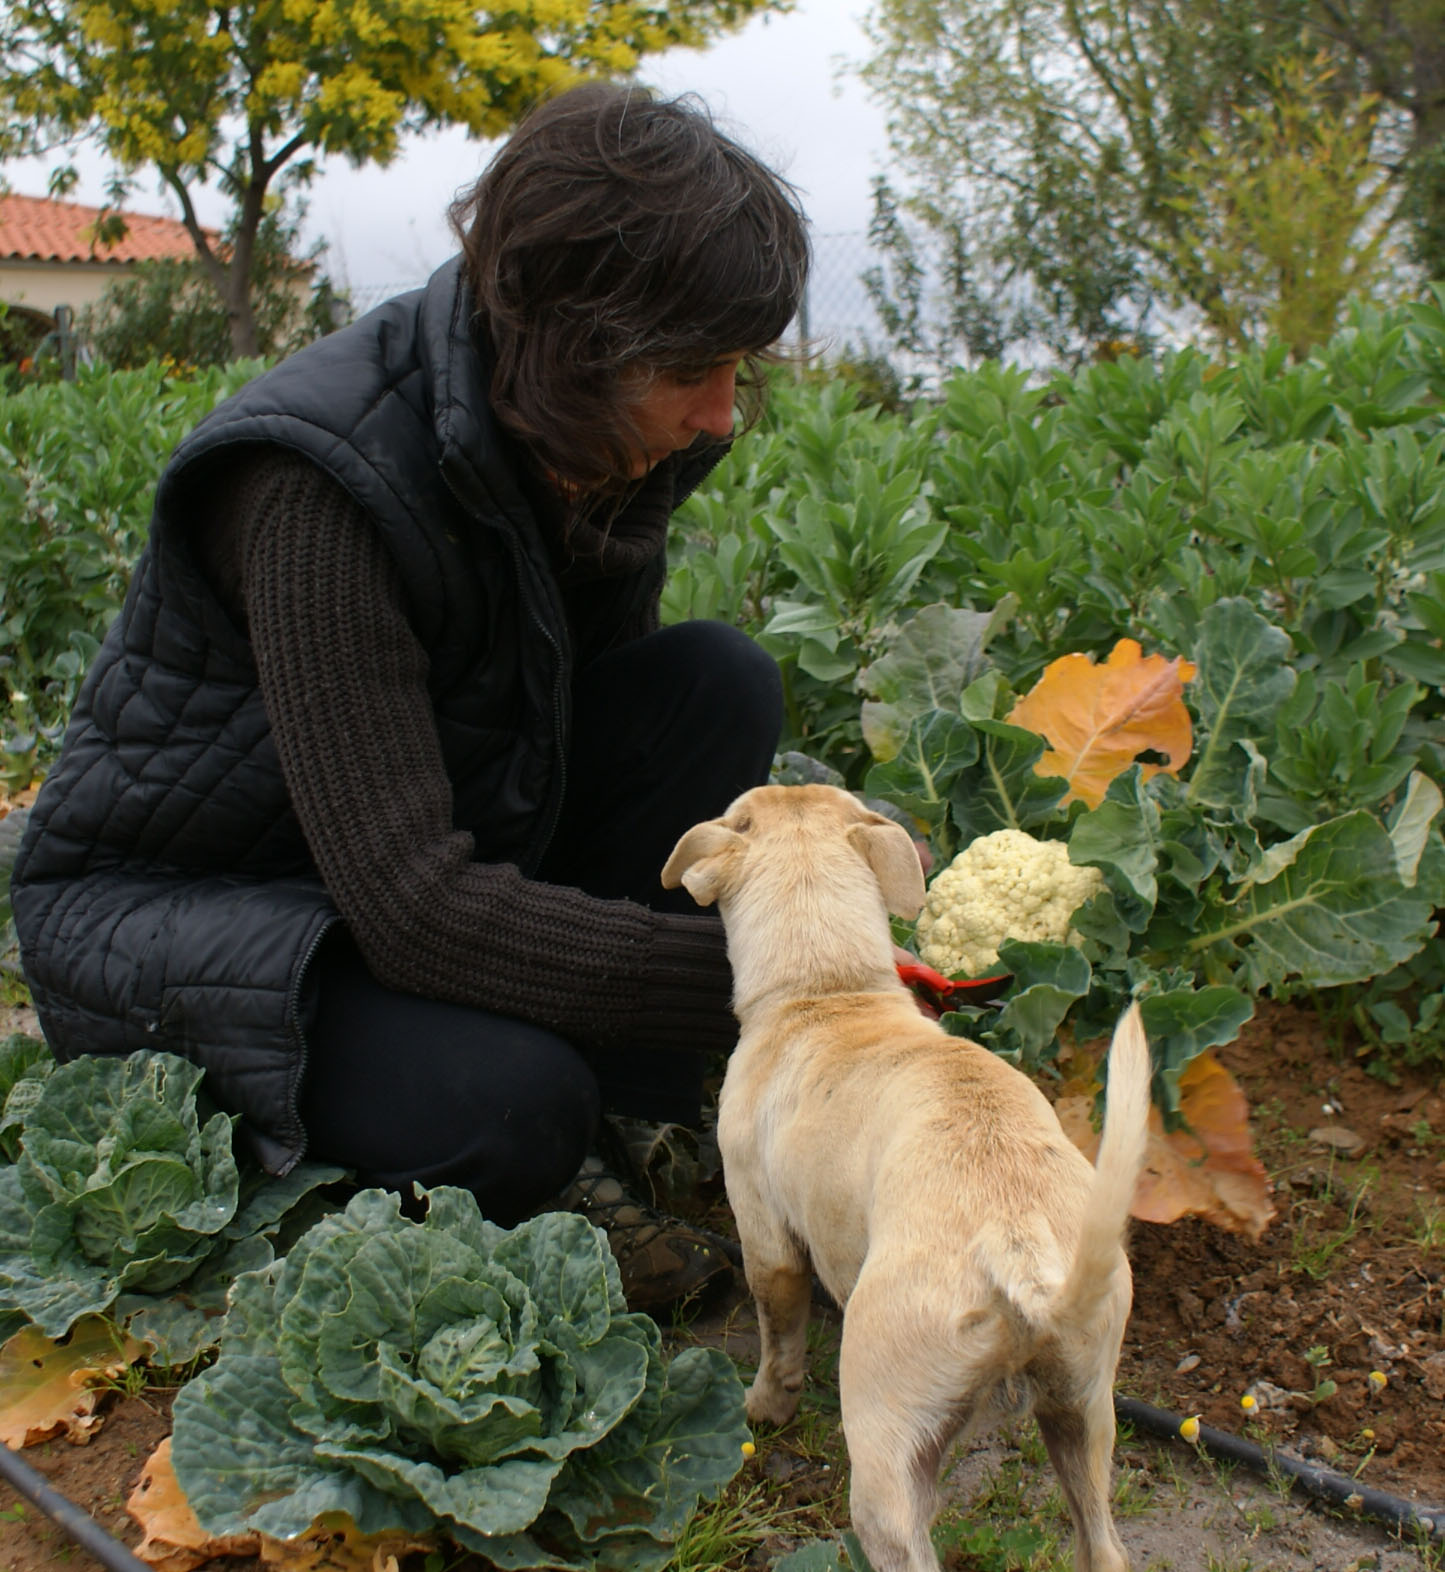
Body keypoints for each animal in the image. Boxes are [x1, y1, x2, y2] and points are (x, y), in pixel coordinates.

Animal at [666, 782, 1150, 1572]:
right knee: (1103, 1545)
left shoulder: (766, 1238)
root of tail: (1020, 1260)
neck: (828, 989)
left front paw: (762, 1410)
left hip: (886, 1452)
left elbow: (778, 1340)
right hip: (1083, 1412)